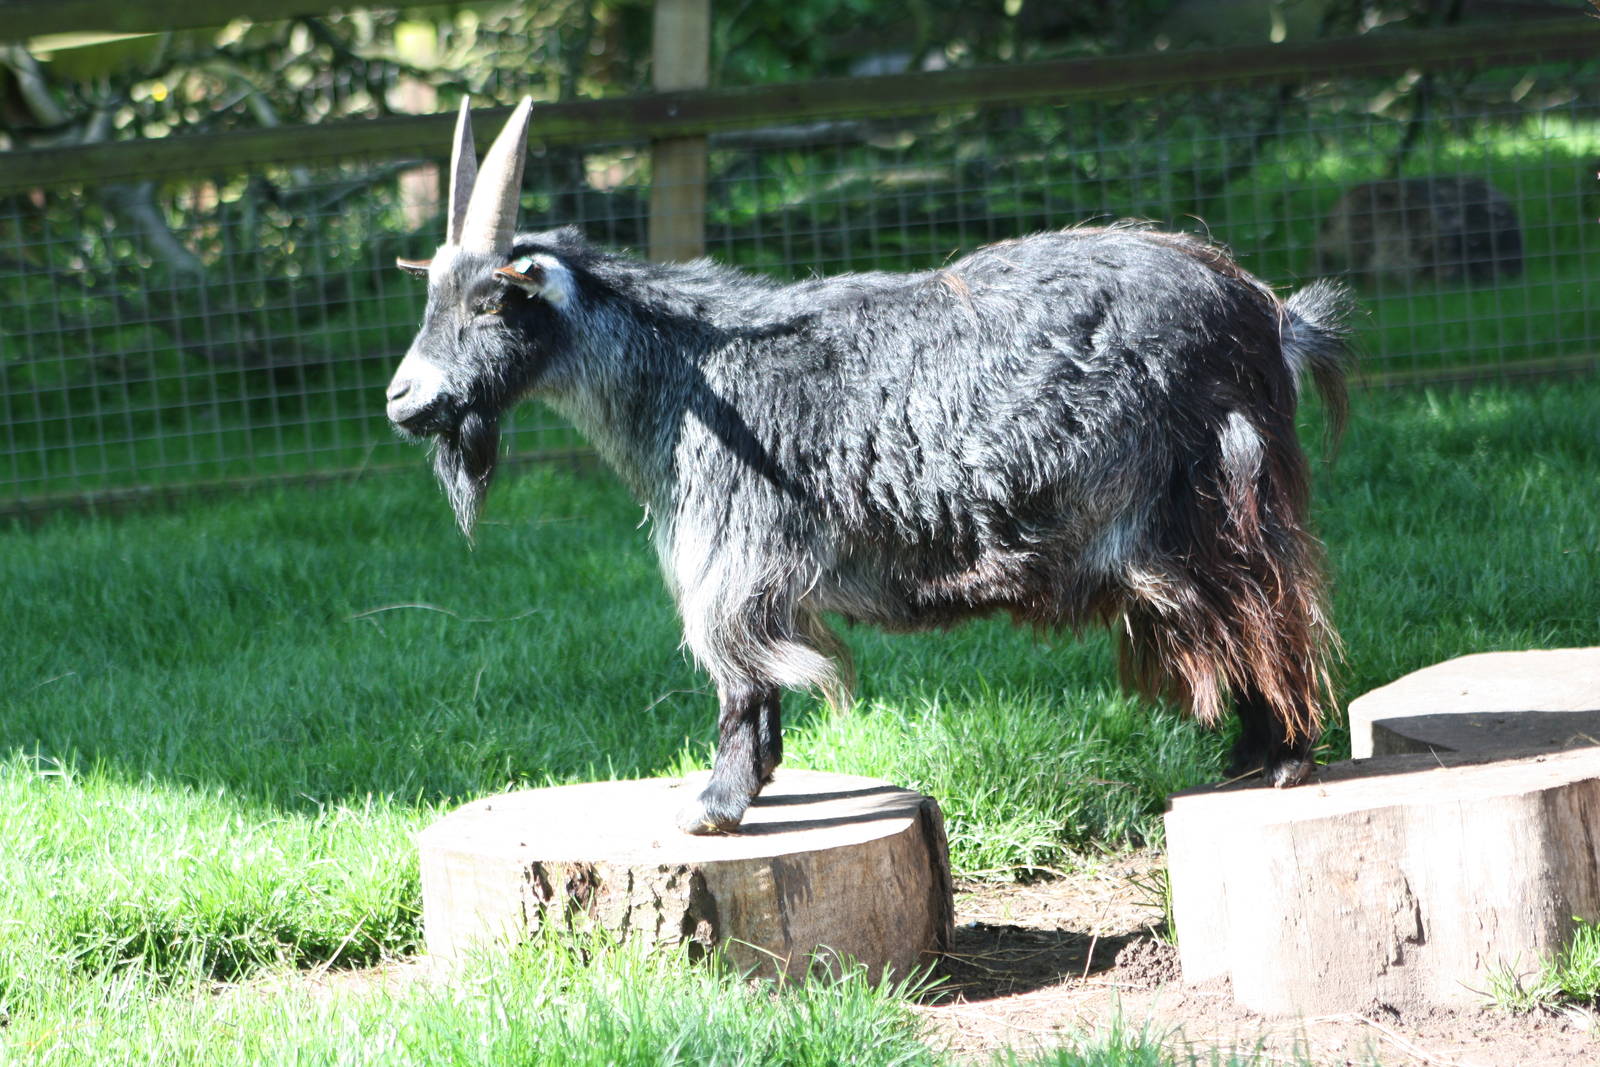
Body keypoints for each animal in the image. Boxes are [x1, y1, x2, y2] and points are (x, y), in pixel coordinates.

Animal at [386, 100, 1353, 834]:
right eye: (429, 293)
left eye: (488, 301)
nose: (400, 399)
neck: (690, 370)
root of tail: (1269, 314)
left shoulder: (735, 551)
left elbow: (741, 674)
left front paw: (716, 803)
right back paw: (1251, 756)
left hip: (1209, 502)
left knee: (1269, 608)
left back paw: (1278, 760)